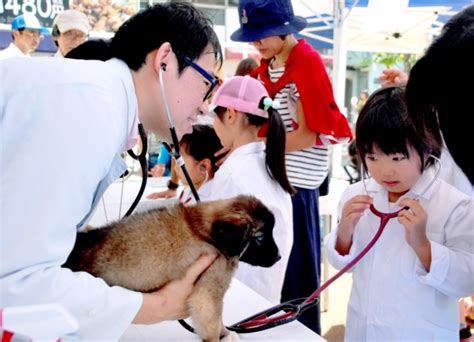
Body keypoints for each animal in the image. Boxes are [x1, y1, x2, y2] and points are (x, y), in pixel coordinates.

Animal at [65, 195, 284, 342]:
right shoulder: (208, 292)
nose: (280, 257)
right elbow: (213, 322)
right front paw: (221, 336)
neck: (205, 233)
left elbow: (219, 320)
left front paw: (226, 333)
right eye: (260, 237)